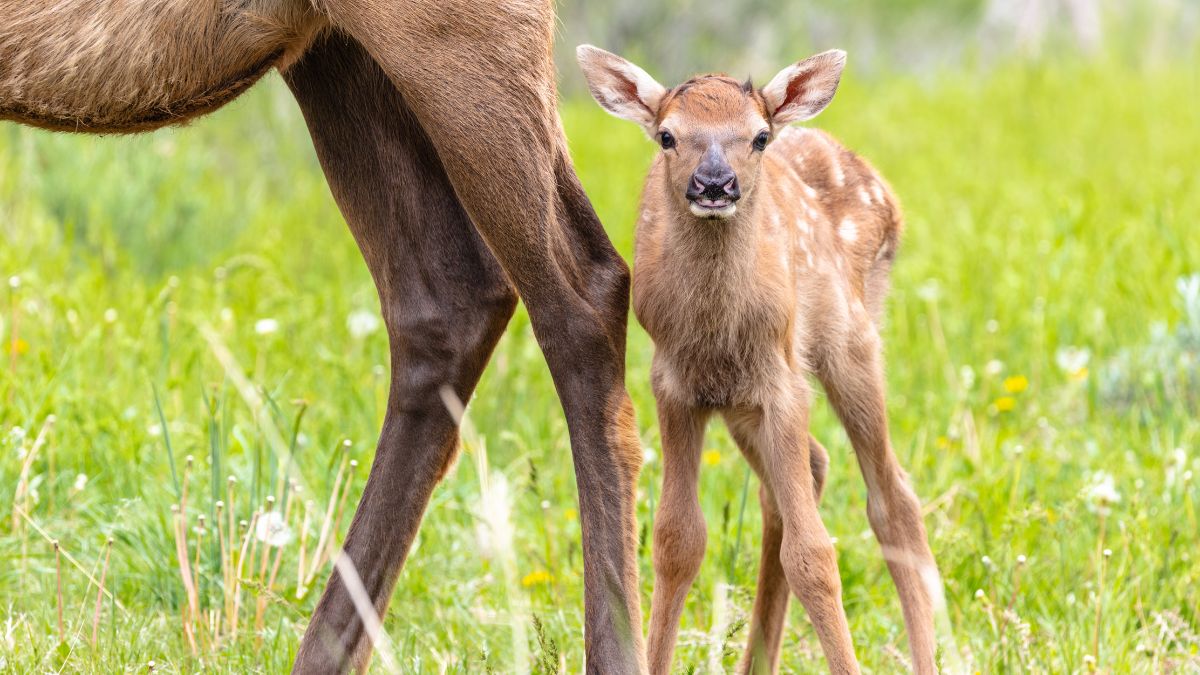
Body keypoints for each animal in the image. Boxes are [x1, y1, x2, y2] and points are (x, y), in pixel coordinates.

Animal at [577, 46, 940, 674]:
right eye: (668, 136)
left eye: (760, 136)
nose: (715, 184)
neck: (715, 327)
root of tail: (888, 196)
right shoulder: (674, 385)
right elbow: (677, 539)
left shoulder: (782, 380)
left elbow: (814, 553)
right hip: (744, 404)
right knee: (805, 473)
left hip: (851, 343)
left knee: (893, 499)